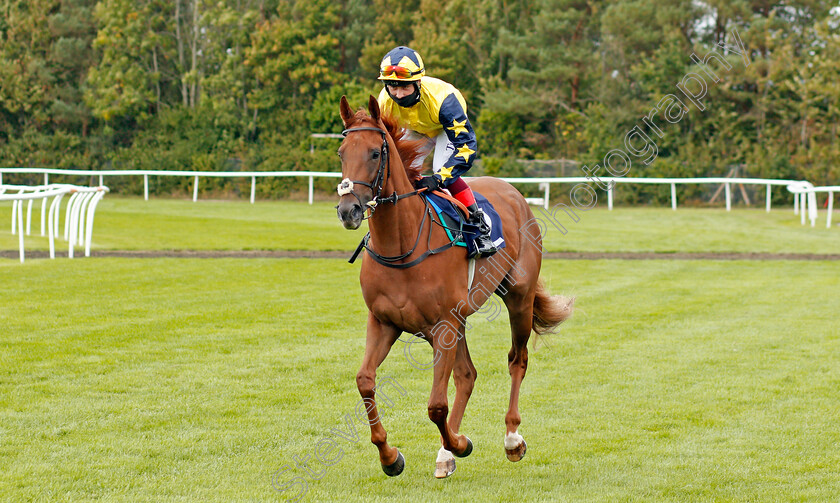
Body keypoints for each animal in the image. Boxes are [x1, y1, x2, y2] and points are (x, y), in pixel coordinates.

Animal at [334, 95, 572, 480]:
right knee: (467, 375)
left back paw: (510, 438)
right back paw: (446, 452)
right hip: (457, 322)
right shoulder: (385, 322)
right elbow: (365, 380)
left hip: (518, 299)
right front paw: (390, 456)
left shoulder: (442, 325)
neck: (402, 245)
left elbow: (435, 405)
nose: (348, 210)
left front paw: (459, 444)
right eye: (341, 152)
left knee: (516, 360)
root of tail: (514, 193)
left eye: (374, 152)